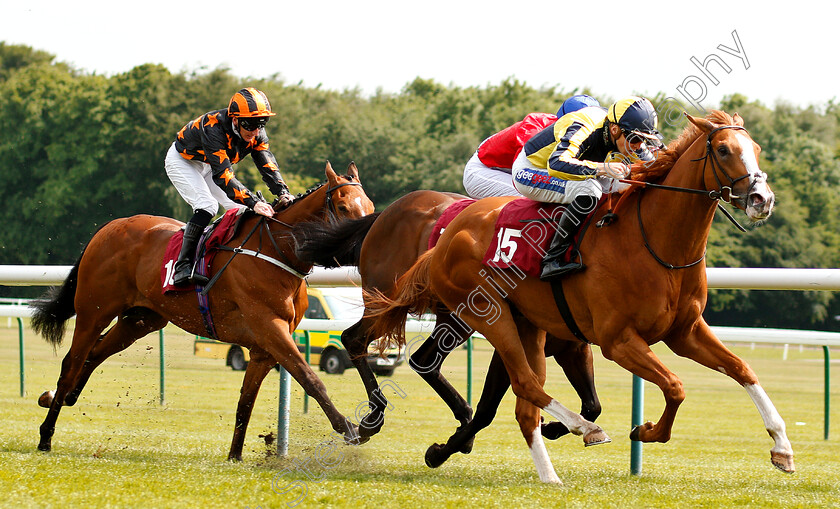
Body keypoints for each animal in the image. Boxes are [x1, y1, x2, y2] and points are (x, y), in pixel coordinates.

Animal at [30, 161, 374, 458]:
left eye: (370, 209)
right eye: (343, 207)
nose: (366, 248)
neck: (276, 252)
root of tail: (109, 227)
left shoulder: (263, 347)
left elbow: (246, 401)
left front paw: (235, 456)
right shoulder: (271, 328)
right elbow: (310, 378)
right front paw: (352, 429)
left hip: (141, 320)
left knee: (95, 353)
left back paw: (60, 398)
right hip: (94, 310)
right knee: (72, 362)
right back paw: (46, 434)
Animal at [292, 189, 600, 466]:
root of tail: (384, 214)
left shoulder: (573, 346)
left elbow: (592, 405)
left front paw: (557, 427)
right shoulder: (511, 341)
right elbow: (490, 407)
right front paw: (445, 448)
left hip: (452, 317)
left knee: (423, 360)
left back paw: (459, 415)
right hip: (390, 300)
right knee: (354, 339)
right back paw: (372, 420)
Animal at [364, 112, 792, 484]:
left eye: (755, 148)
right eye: (723, 150)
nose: (762, 199)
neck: (655, 243)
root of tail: (449, 234)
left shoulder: (684, 331)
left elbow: (742, 369)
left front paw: (782, 448)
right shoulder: (618, 341)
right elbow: (675, 386)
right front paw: (646, 430)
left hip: (526, 324)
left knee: (524, 400)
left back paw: (548, 469)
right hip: (488, 314)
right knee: (525, 385)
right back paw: (581, 429)